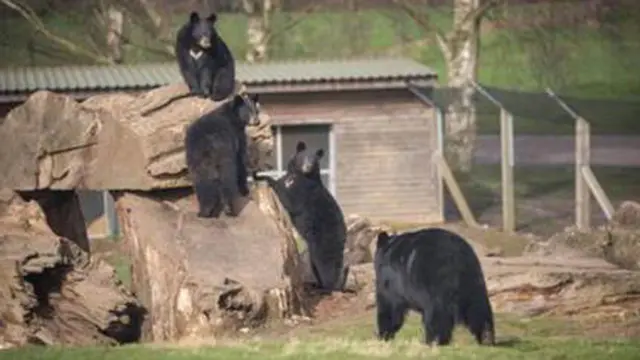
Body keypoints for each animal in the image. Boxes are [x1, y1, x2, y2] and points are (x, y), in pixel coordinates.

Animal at [252, 141, 348, 292]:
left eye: (314, 160)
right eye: (303, 157)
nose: (307, 166)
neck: (299, 175)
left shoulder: (302, 190)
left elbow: (289, 199)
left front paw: (264, 177)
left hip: (325, 239)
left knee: (325, 263)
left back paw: (328, 287)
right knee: (315, 263)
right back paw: (317, 284)